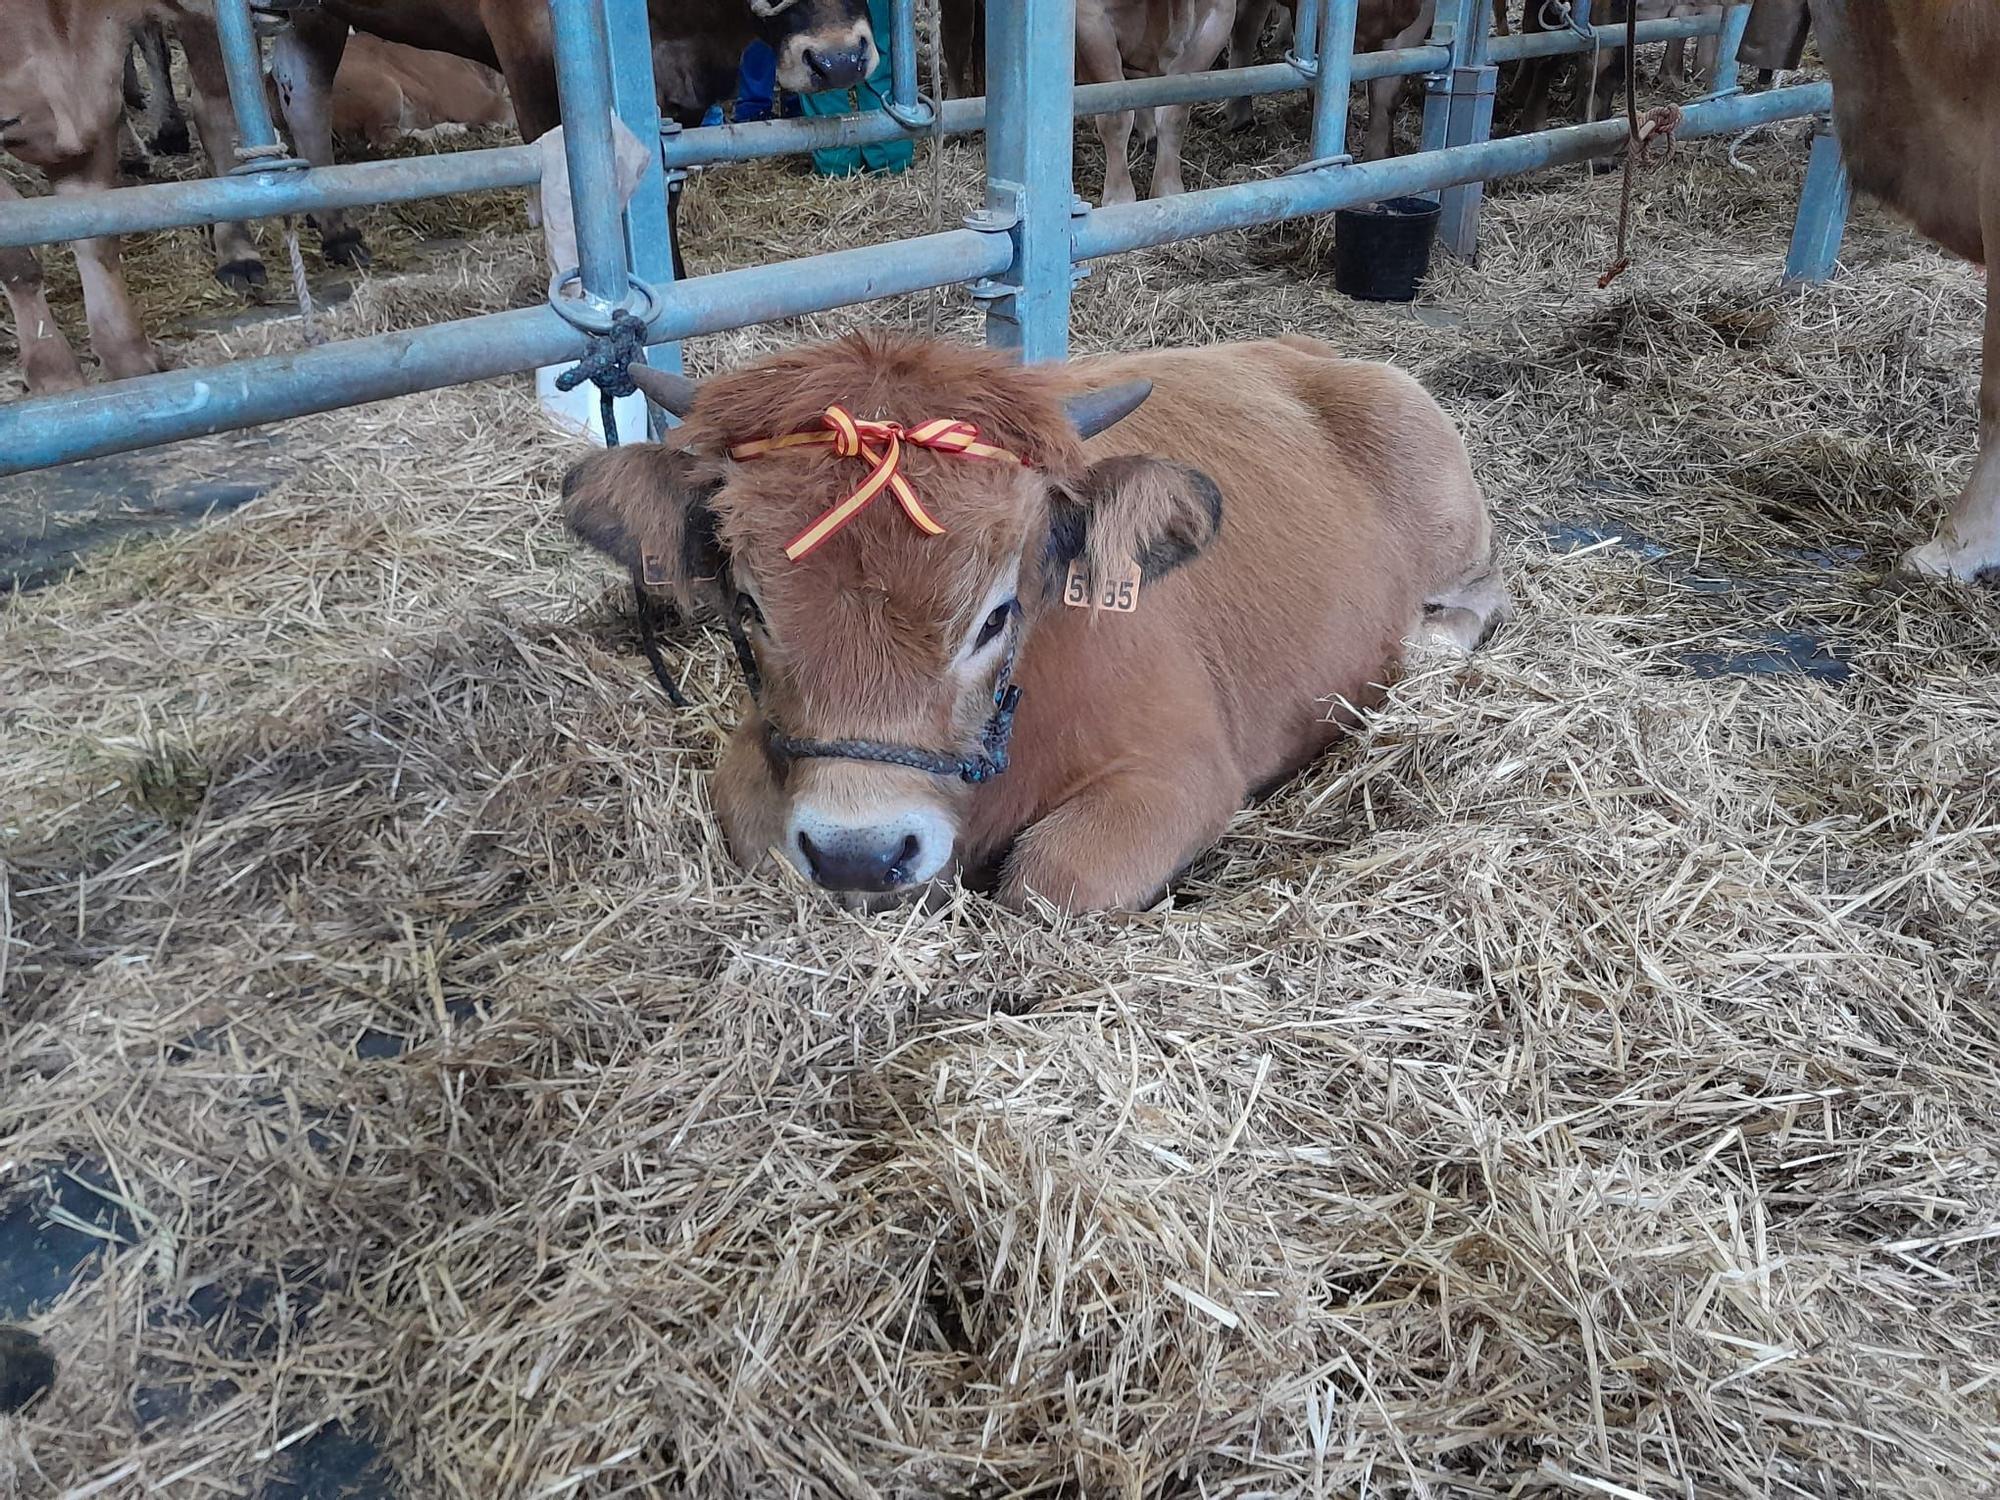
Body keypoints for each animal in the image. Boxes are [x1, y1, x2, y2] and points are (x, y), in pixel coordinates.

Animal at [560, 334, 1504, 912]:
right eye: (750, 608)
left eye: (996, 618)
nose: (861, 852)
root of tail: (1306, 350)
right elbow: (753, 825)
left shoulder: (1183, 772)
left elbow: (1052, 879)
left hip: (1455, 524)